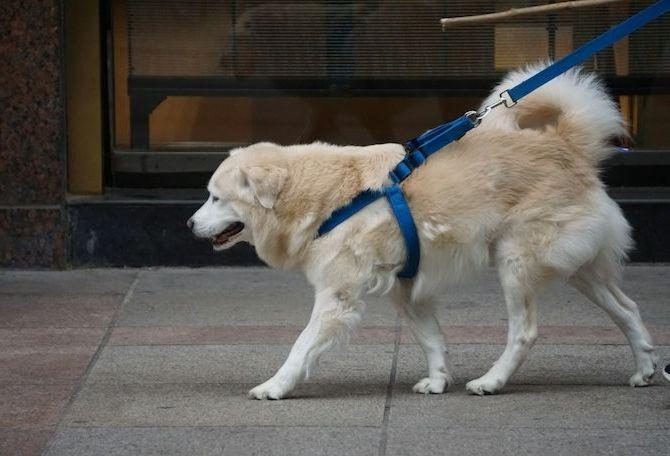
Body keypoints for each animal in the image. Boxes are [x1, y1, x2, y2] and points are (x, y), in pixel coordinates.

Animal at [188, 65, 656, 400]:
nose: (189, 224)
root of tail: (564, 144)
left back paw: (492, 381)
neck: (324, 195)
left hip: (516, 263)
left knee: (524, 332)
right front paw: (437, 380)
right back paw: (646, 369)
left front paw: (275, 387)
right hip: (580, 268)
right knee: (628, 309)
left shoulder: (336, 297)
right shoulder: (406, 289)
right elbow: (432, 339)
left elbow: (300, 347)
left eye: (215, 197)